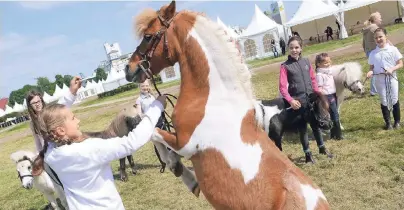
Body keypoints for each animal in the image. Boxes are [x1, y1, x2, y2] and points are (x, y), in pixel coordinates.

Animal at [124, 1, 330, 208]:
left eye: (148, 36)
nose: (128, 68)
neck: (214, 100)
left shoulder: (185, 144)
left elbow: (152, 133)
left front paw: (179, 170)